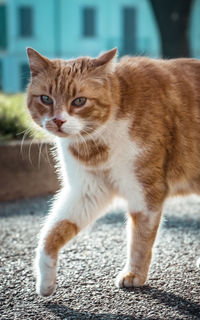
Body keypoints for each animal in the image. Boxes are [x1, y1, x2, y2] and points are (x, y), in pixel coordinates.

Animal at [27, 48, 200, 298]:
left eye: (79, 101)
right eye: (46, 99)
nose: (58, 120)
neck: (94, 145)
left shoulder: (144, 192)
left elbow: (140, 239)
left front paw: (134, 274)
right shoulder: (87, 192)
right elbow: (52, 232)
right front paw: (45, 280)